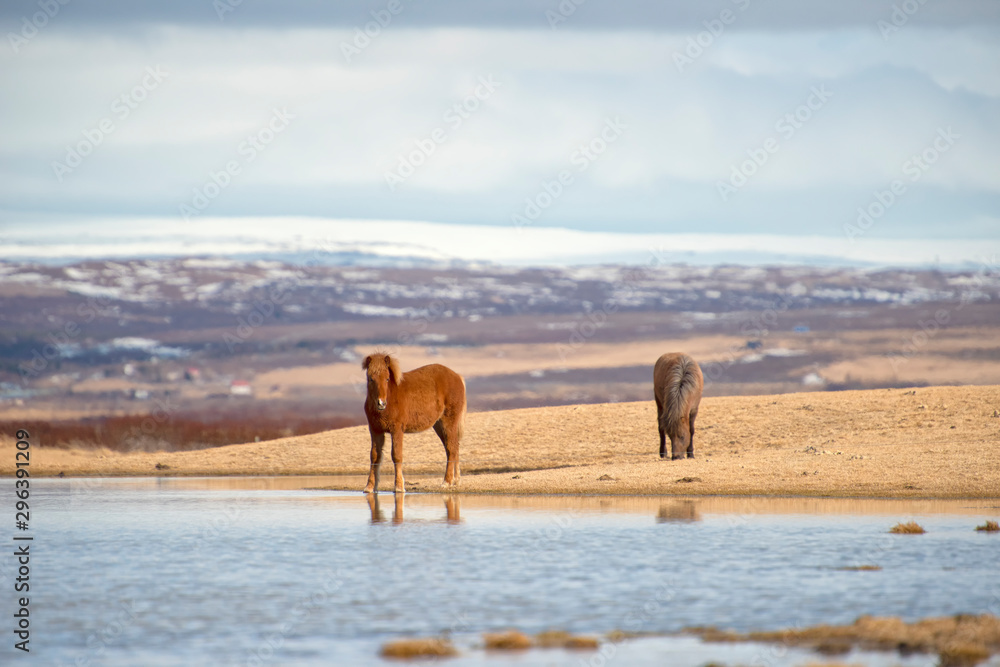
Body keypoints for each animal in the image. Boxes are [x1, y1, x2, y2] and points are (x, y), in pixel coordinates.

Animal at [362, 352, 466, 494]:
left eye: (387, 379)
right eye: (371, 379)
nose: (381, 403)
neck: (391, 396)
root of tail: (457, 376)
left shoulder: (397, 430)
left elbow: (396, 456)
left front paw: (399, 487)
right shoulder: (375, 430)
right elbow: (375, 456)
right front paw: (369, 487)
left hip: (448, 422)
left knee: (451, 448)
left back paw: (447, 482)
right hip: (439, 425)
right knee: (453, 448)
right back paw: (456, 480)